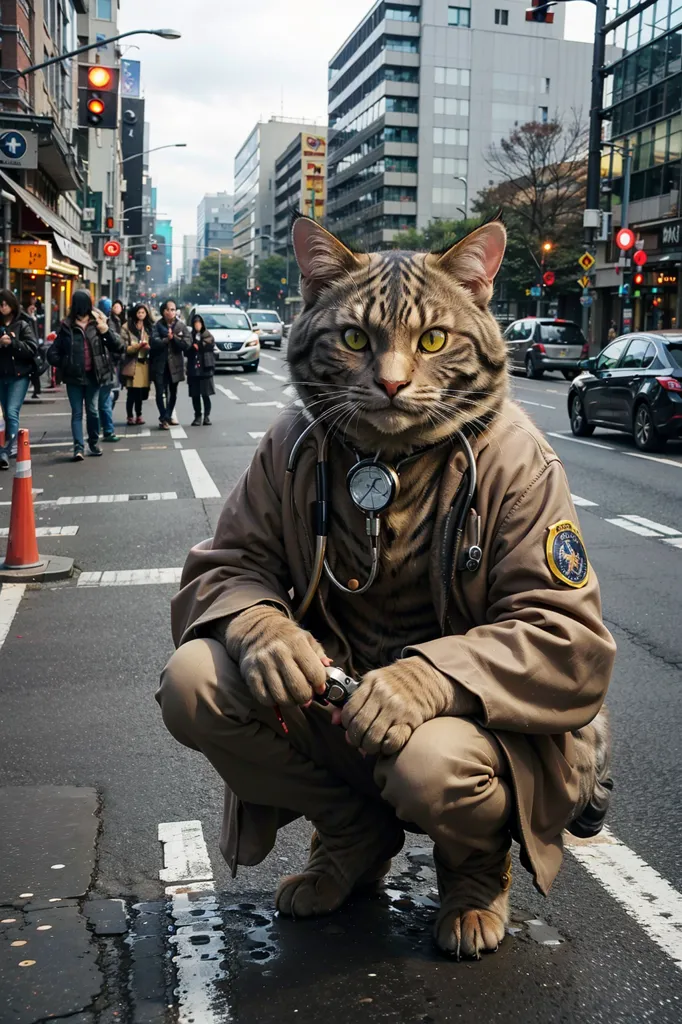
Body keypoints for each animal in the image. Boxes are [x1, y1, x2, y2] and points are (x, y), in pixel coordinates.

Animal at [156, 216, 614, 958]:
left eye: (432, 340)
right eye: (353, 339)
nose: (394, 386)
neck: (389, 465)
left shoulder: (544, 532)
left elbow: (553, 623)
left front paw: (402, 688)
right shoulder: (263, 479)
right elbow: (227, 568)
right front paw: (276, 645)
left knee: (442, 771)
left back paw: (473, 897)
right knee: (202, 681)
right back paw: (344, 856)